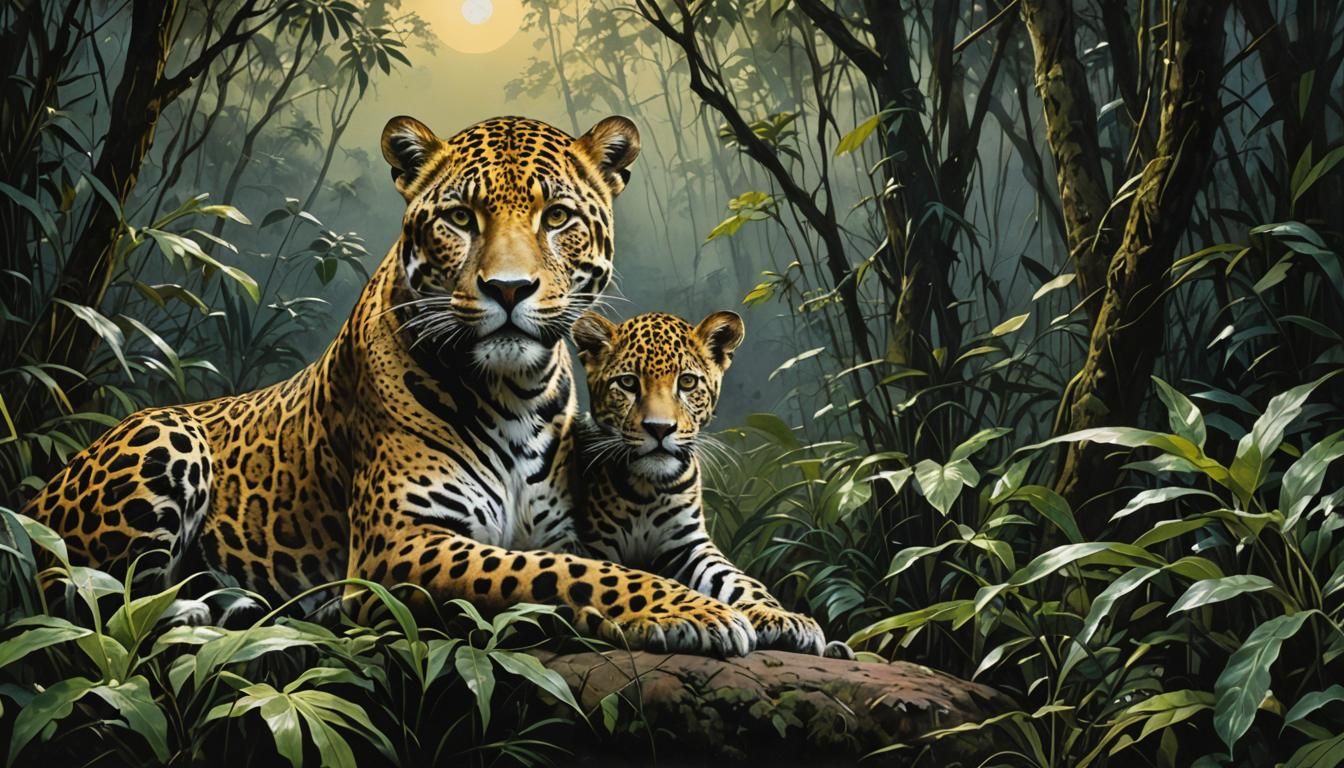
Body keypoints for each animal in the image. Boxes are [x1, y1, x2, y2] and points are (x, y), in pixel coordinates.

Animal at [22, 114, 756, 657]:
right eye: (459, 218)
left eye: (556, 217)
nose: (509, 289)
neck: (515, 393)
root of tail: (33, 498)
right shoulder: (398, 544)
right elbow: (579, 576)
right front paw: (697, 612)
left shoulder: (559, 530)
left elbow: (584, 566)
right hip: (162, 434)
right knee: (97, 600)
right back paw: (200, 609)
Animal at [571, 310, 851, 657]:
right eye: (627, 383)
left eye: (687, 382)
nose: (660, 429)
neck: (649, 488)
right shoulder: (592, 546)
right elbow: (615, 581)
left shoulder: (689, 545)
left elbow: (739, 581)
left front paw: (781, 617)